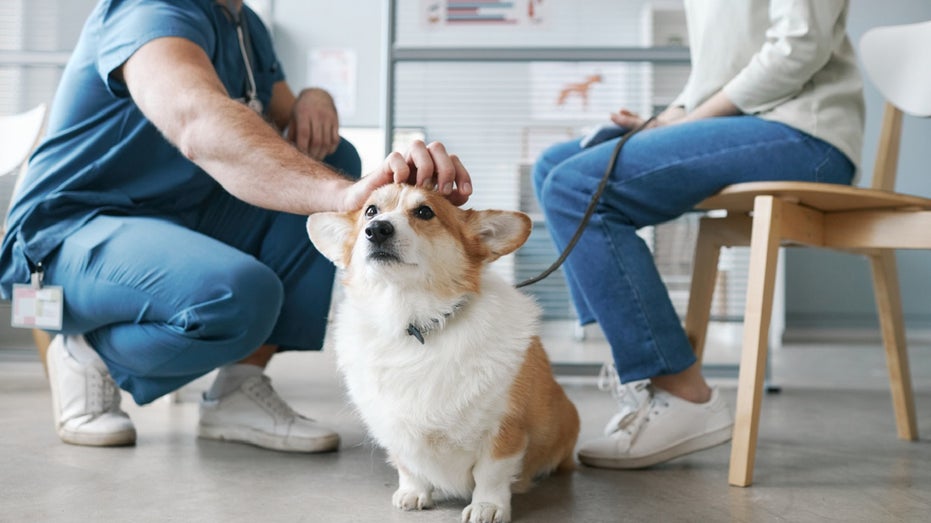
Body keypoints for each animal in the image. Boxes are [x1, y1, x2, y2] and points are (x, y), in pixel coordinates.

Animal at [310, 185, 580, 523]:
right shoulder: (394, 428)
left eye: (425, 212)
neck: (413, 323)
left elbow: (491, 474)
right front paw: (413, 493)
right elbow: (408, 466)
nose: (377, 230)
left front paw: (487, 507)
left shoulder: (504, 429)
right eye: (370, 211)